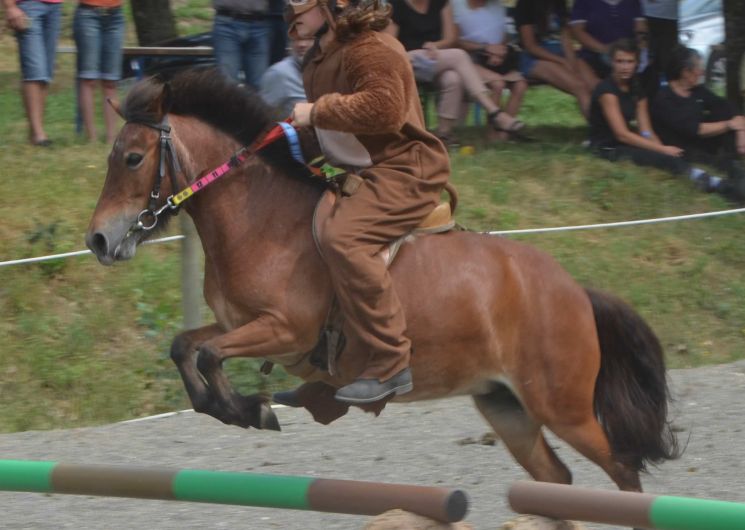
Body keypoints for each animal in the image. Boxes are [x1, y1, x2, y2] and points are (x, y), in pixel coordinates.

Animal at [84, 70, 676, 490]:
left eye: (132, 158)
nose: (98, 241)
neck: (260, 219)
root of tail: (576, 292)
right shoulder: (239, 325)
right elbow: (186, 347)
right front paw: (241, 410)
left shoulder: (285, 331)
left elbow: (206, 356)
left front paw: (252, 410)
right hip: (506, 406)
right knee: (557, 479)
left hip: (565, 409)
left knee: (623, 471)